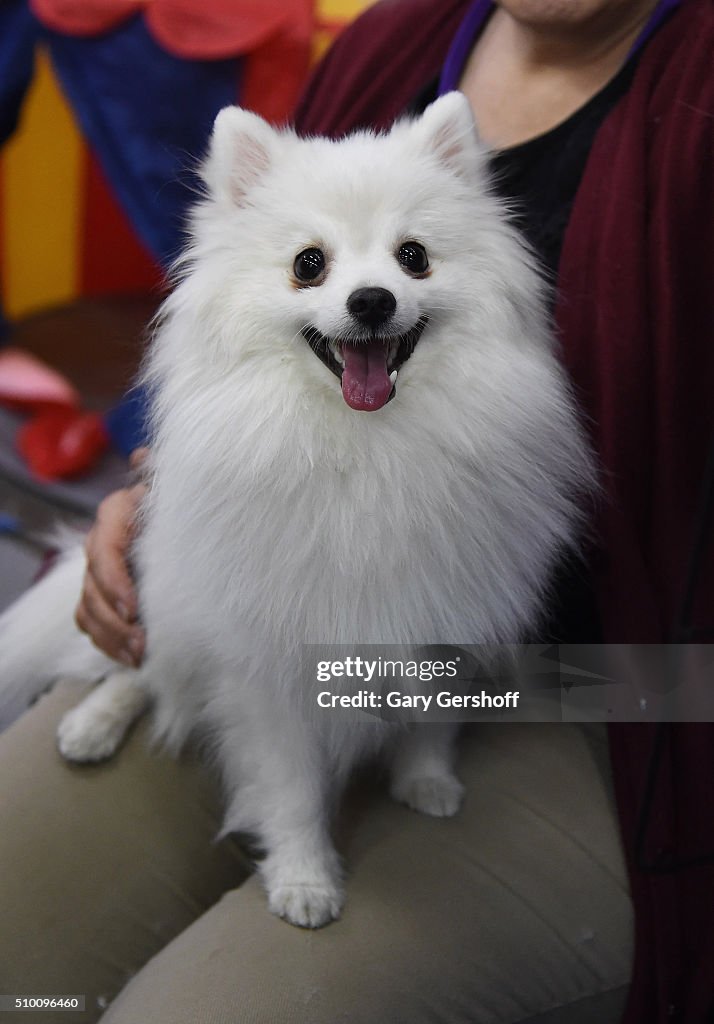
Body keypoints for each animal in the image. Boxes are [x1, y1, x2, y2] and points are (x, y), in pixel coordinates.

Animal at [0, 94, 590, 929]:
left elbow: (432, 719)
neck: (368, 447)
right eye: (309, 263)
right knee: (140, 664)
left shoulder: (447, 611)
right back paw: (94, 723)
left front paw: (425, 779)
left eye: (414, 256)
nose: (371, 299)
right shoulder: (273, 663)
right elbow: (293, 787)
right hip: (166, 590)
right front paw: (306, 879)